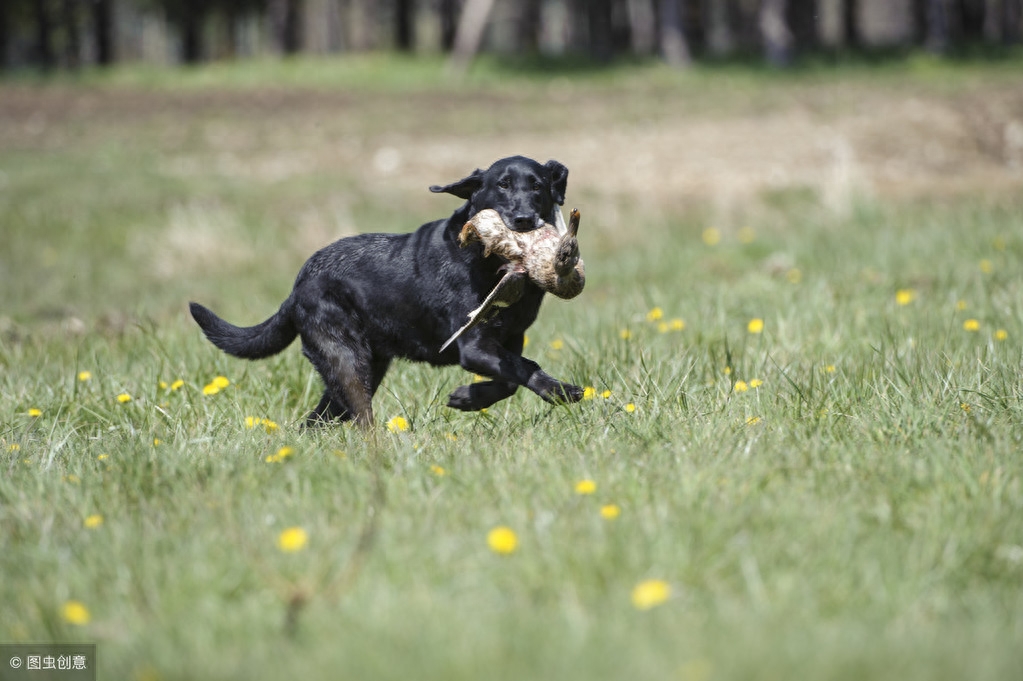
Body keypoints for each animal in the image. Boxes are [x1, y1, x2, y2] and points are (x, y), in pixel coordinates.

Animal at [191, 156, 585, 427]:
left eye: (537, 186)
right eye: (501, 185)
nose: (523, 220)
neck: (488, 262)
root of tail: (297, 287)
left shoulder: (509, 340)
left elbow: (510, 380)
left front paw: (467, 398)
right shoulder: (473, 346)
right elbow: (524, 368)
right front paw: (561, 390)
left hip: (361, 368)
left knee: (317, 421)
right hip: (348, 362)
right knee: (357, 417)